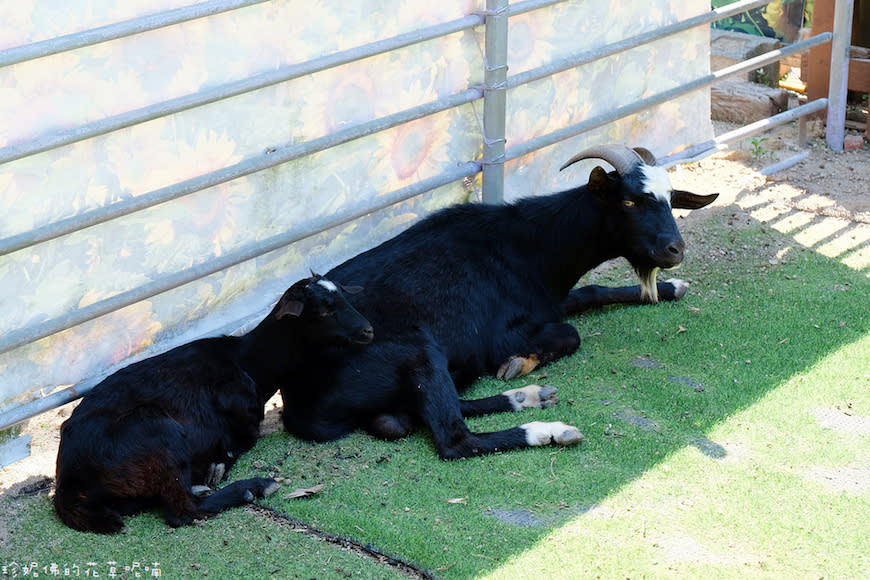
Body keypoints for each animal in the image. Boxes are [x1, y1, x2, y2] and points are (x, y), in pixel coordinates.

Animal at [51, 276, 372, 536]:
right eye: (324, 310)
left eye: (345, 298)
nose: (368, 330)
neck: (247, 363)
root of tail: (68, 480)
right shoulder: (243, 426)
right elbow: (234, 447)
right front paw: (218, 467)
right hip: (157, 432)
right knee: (183, 511)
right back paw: (252, 487)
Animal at [282, 144, 720, 458]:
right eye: (629, 201)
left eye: (670, 199)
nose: (674, 250)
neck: (529, 245)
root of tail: (297, 401)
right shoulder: (500, 337)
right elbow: (569, 334)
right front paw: (517, 363)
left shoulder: (549, 300)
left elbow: (591, 293)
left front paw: (671, 287)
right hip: (420, 351)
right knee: (455, 440)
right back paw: (549, 430)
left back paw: (528, 397)